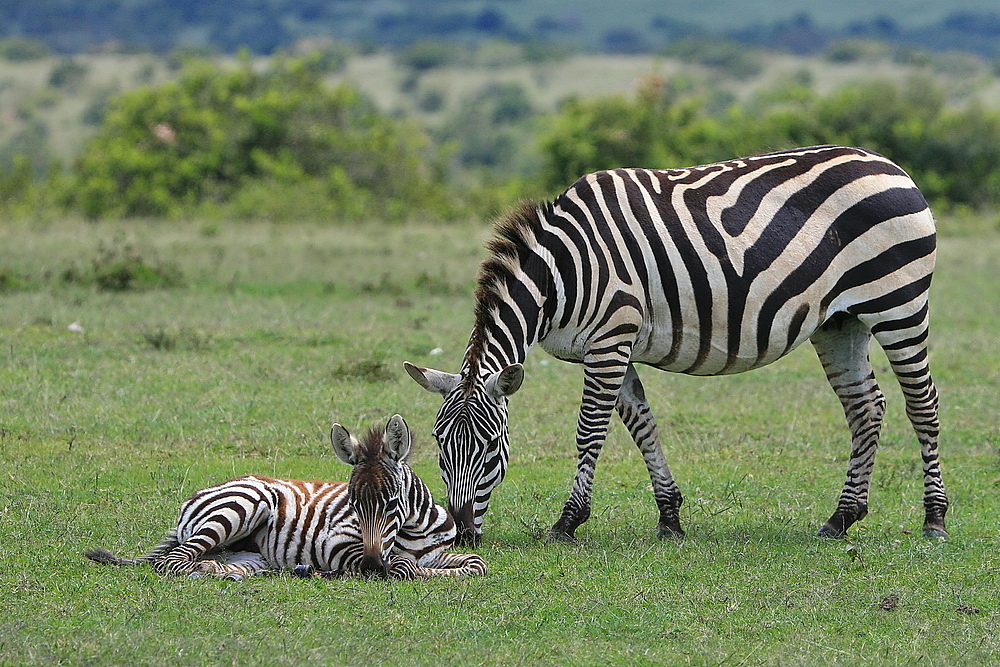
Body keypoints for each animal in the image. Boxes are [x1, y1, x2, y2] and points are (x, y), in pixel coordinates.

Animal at [88, 418, 486, 580]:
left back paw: (225, 571)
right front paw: (414, 570)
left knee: (213, 563)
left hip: (249, 555)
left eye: (391, 503)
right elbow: (402, 565)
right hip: (243, 505)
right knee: (172, 561)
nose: (373, 567)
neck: (416, 531)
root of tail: (201, 494)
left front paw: (434, 570)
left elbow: (476, 564)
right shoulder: (335, 543)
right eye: (353, 505)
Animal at [404, 144, 944, 544]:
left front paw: (567, 521)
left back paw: (934, 520)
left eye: (491, 447)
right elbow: (642, 424)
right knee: (866, 406)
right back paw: (842, 517)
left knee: (922, 403)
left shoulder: (610, 339)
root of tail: (888, 164)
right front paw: (669, 517)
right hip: (841, 321)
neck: (563, 273)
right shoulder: (608, 346)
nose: (462, 535)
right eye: (438, 443)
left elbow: (590, 432)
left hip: (899, 304)